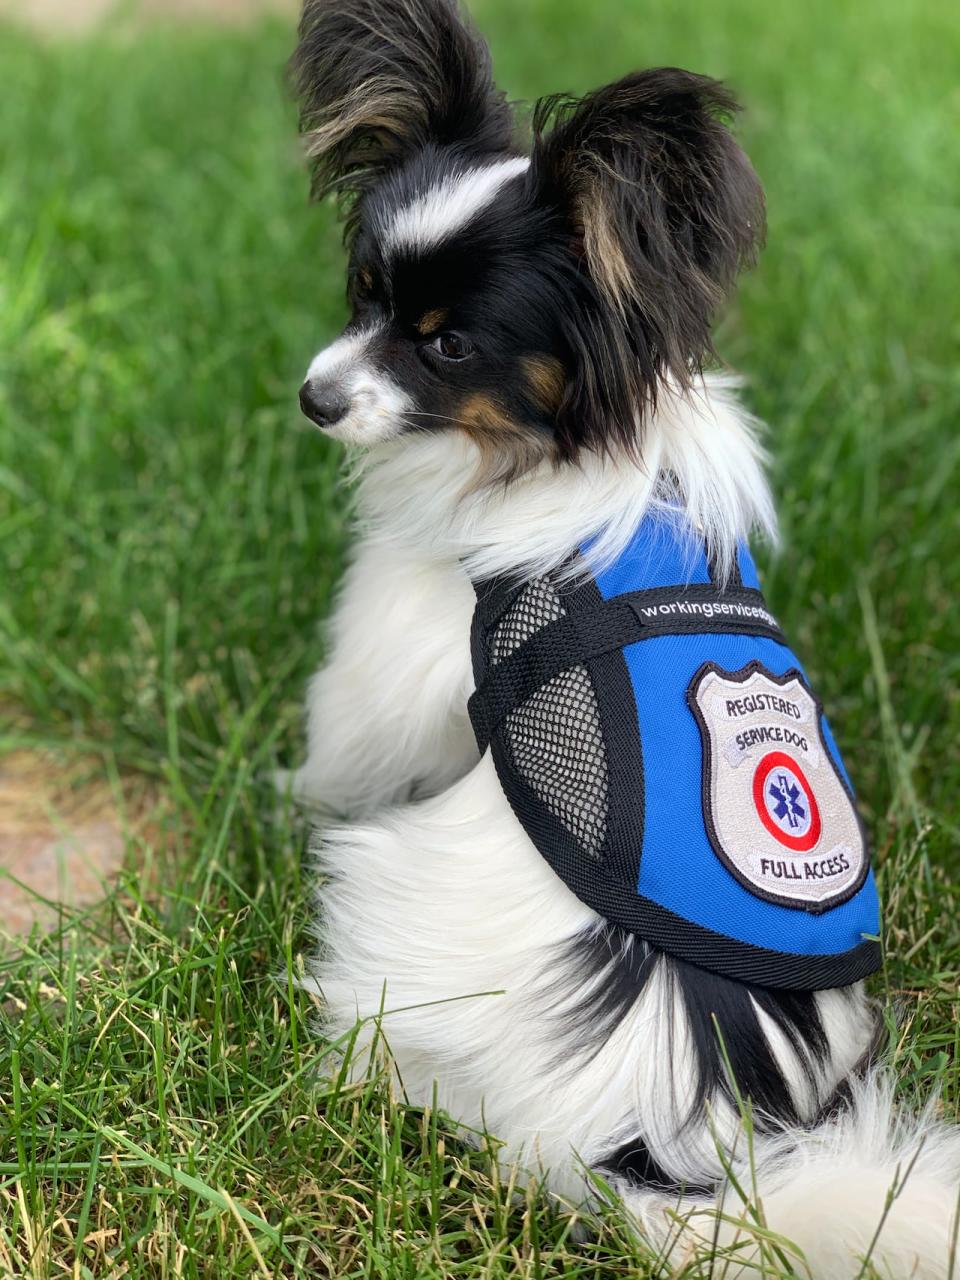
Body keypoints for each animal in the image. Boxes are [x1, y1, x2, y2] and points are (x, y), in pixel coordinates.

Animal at [280, 5, 960, 1274]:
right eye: (362, 291)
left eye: (446, 347)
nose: (315, 396)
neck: (546, 445)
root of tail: (668, 1149)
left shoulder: (395, 643)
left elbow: (344, 744)